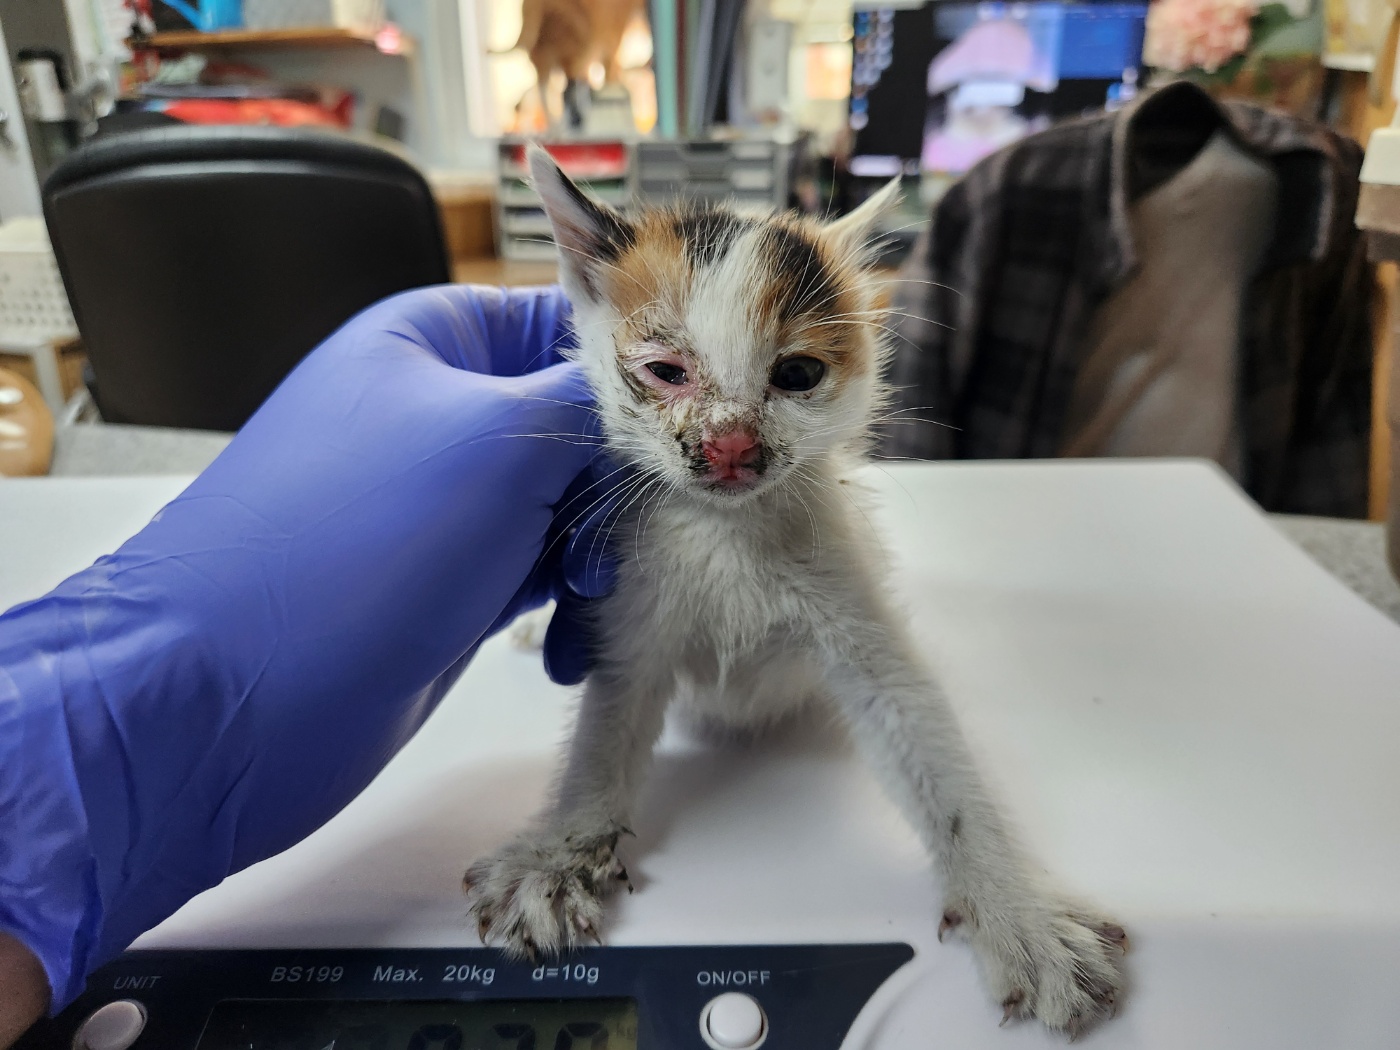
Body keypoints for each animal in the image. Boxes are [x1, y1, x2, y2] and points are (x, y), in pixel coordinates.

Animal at [464, 146, 1131, 1036]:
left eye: (799, 374)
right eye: (665, 372)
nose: (733, 447)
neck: (731, 531)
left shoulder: (859, 616)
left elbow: (933, 753)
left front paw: (1018, 913)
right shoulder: (633, 616)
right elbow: (604, 736)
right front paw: (559, 853)